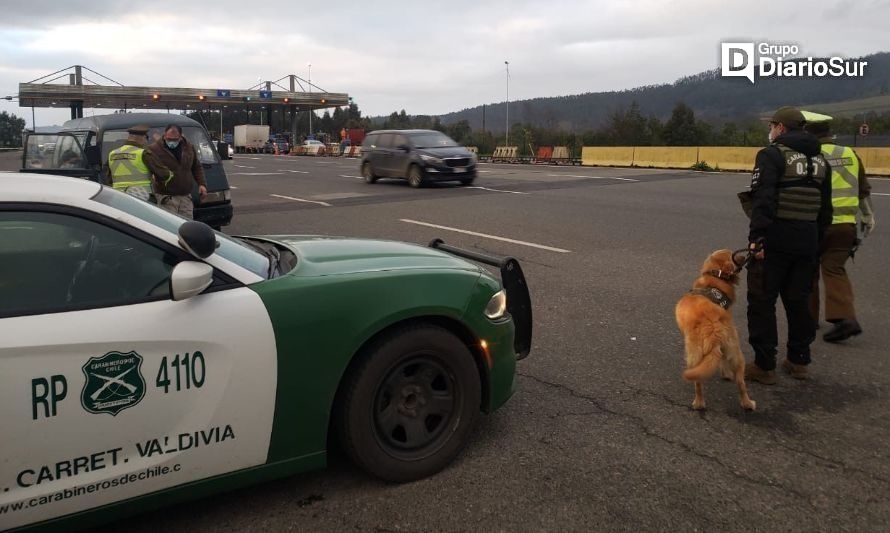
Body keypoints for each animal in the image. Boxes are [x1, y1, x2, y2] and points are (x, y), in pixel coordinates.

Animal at [676, 249, 752, 412]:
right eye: (733, 254)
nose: (745, 256)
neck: (715, 278)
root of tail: (713, 327)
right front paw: (726, 373)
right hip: (734, 350)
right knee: (741, 383)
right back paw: (747, 403)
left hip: (693, 354)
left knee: (698, 382)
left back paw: (699, 403)